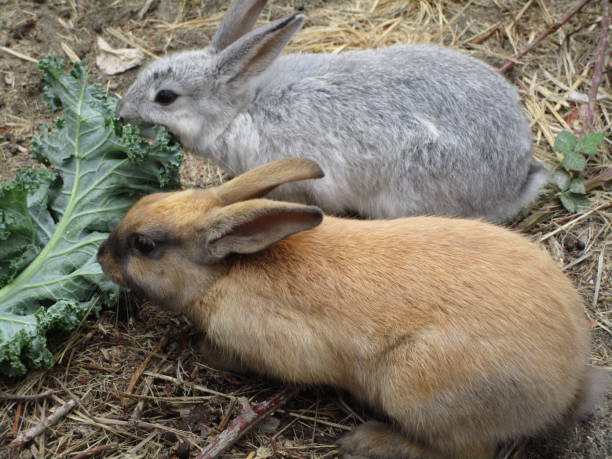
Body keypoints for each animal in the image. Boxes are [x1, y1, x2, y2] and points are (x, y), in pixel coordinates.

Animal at [97, 159, 604, 459]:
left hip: (415, 390)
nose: (102, 258)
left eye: (144, 246)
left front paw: (205, 351)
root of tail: (569, 387)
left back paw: (369, 441)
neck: (225, 272)